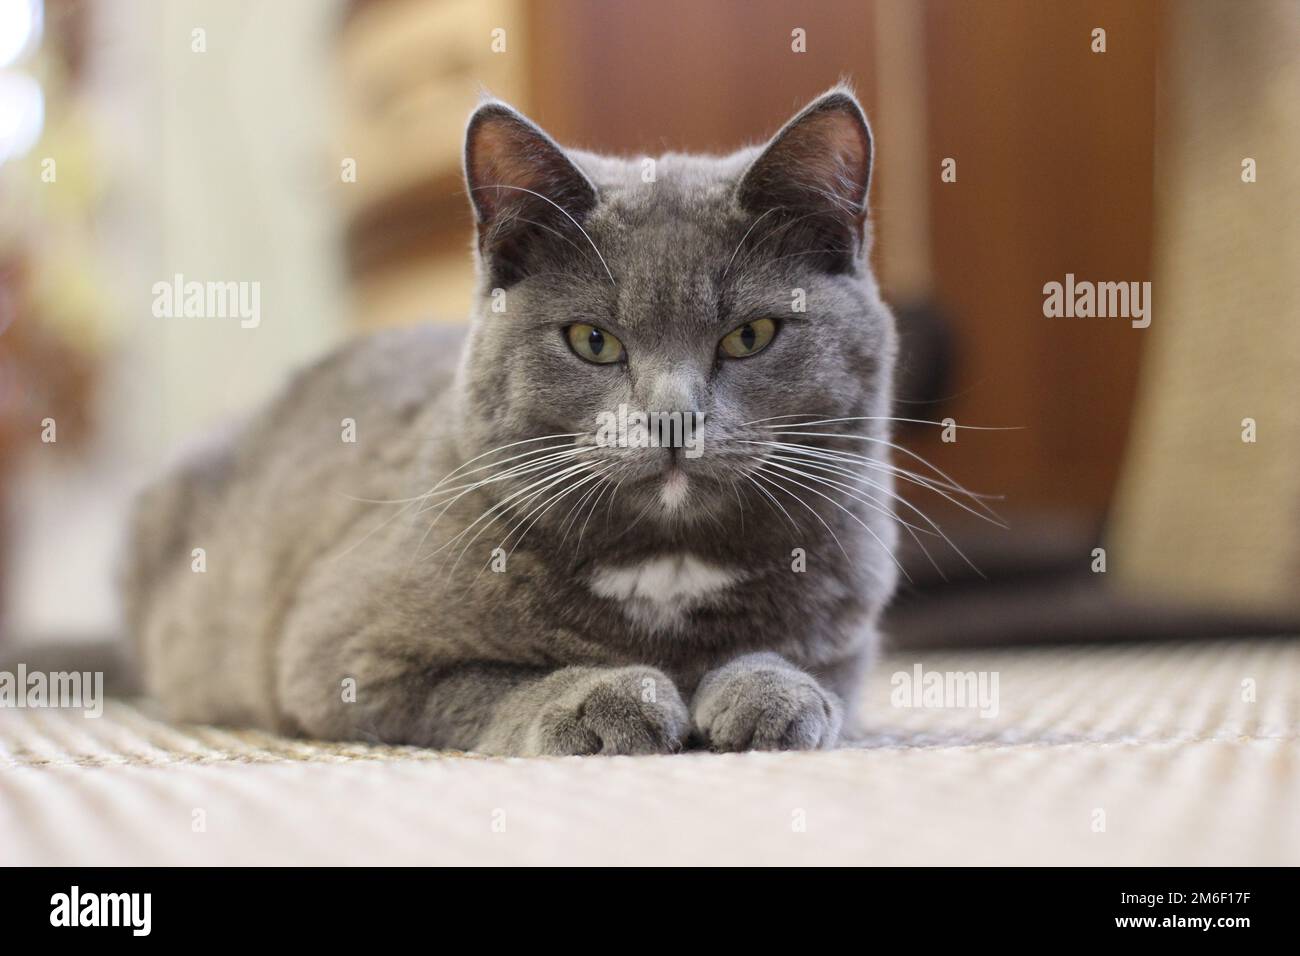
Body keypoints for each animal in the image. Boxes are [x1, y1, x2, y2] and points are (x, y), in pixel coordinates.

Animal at [122, 87, 899, 754]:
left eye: (750, 335)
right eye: (593, 341)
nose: (673, 417)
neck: (667, 564)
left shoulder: (849, 632)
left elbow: (822, 675)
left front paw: (772, 693)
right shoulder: (339, 653)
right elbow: (489, 682)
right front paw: (603, 699)